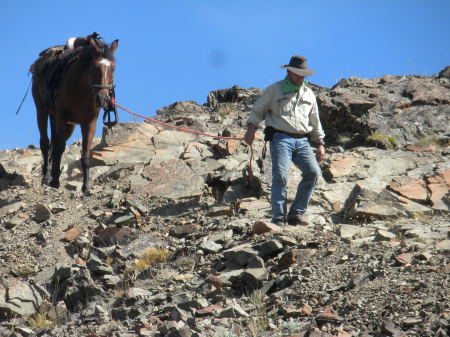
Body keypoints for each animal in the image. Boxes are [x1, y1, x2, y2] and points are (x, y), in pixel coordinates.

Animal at [31, 34, 119, 192]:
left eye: (113, 69)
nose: (103, 99)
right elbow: (59, 148)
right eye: (94, 67)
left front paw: (86, 187)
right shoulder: (62, 118)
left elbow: (85, 155)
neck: (80, 90)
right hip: (41, 110)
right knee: (46, 143)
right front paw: (55, 181)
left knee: (54, 142)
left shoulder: (89, 123)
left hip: (67, 125)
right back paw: (47, 177)